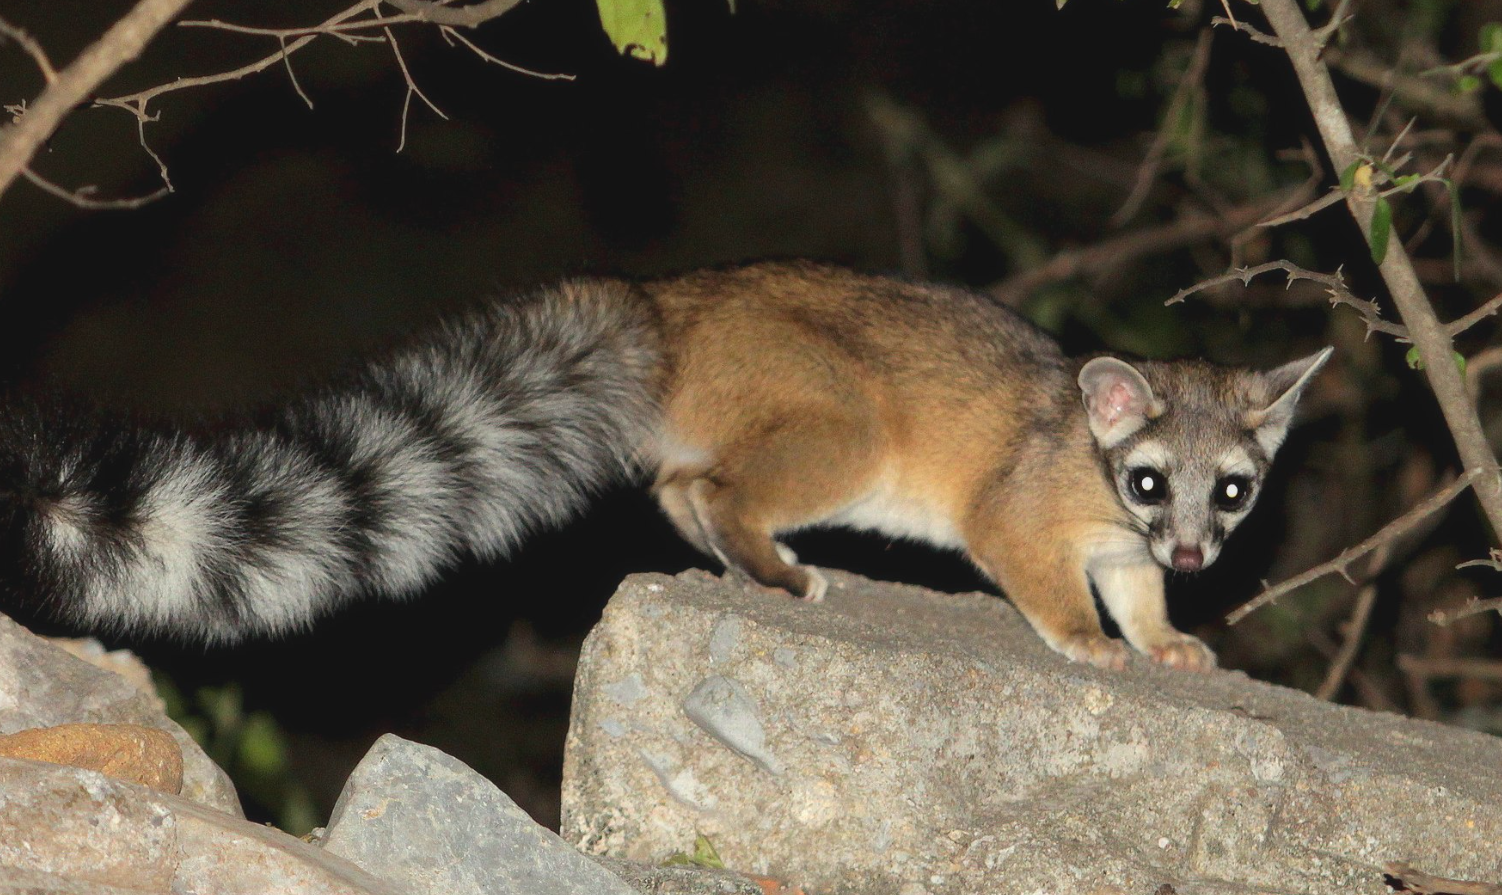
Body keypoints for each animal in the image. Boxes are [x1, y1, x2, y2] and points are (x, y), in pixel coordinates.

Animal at [0, 262, 1327, 666]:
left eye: (1231, 489)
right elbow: (1040, 576)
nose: (1199, 551)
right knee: (723, 484)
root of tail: (665, 304)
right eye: (1148, 478)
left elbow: (1137, 589)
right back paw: (770, 560)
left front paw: (1164, 636)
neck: (1095, 472)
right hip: (840, 418)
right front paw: (1088, 640)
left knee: (678, 485)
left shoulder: (1129, 548)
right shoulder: (1026, 509)